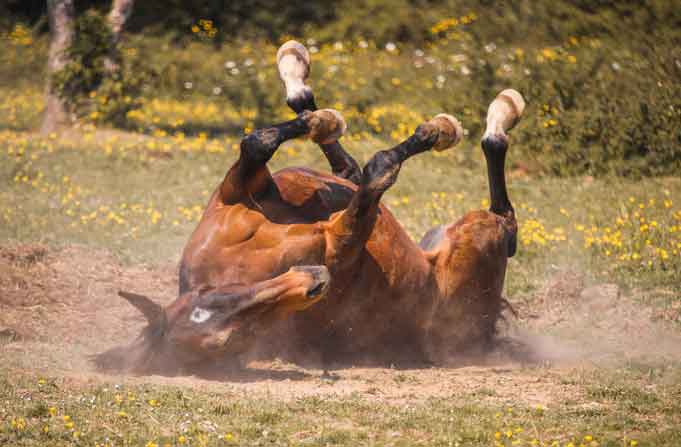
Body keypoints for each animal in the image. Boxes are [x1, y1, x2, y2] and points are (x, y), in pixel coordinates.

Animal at [95, 40, 524, 374]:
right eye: (231, 340)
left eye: (211, 298)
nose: (310, 281)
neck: (248, 260)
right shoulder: (341, 239)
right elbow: (380, 169)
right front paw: (433, 131)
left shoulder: (238, 190)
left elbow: (258, 142)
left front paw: (320, 116)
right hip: (475, 239)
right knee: (505, 219)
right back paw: (494, 119)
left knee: (344, 165)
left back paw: (296, 71)